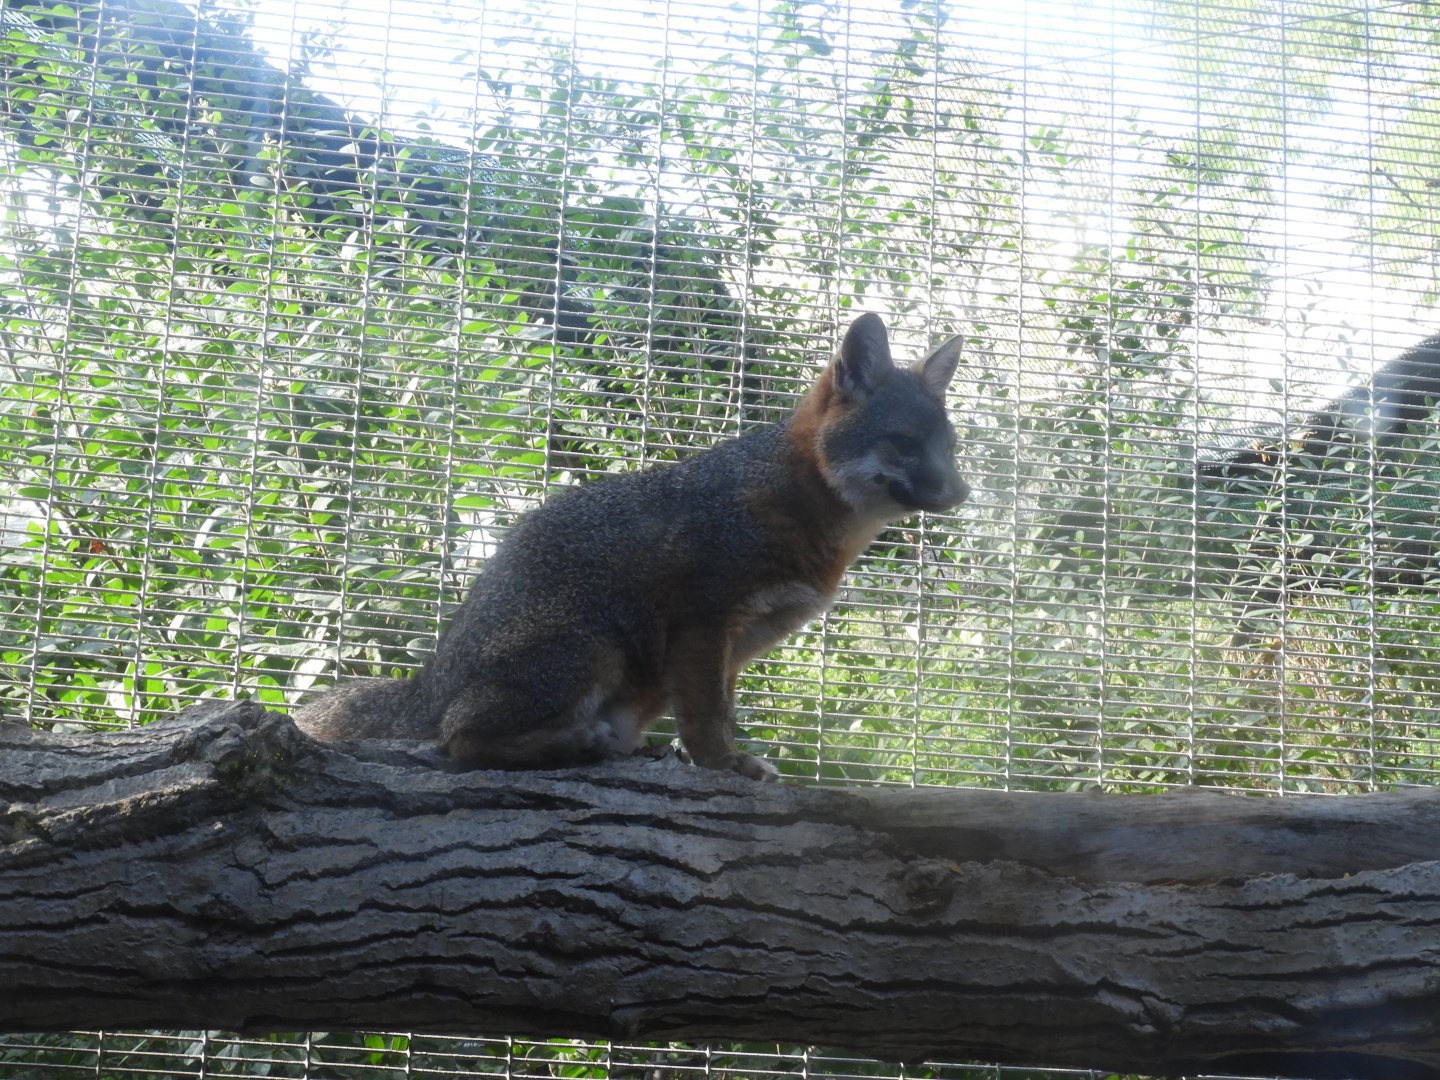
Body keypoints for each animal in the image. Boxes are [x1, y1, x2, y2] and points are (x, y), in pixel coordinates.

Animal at [293, 313, 967, 781]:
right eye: (905, 443)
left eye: (949, 448)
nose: (961, 491)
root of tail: (429, 681)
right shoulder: (701, 620)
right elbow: (707, 716)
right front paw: (724, 765)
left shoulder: (734, 643)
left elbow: (718, 707)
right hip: (593, 644)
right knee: (458, 740)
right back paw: (572, 745)